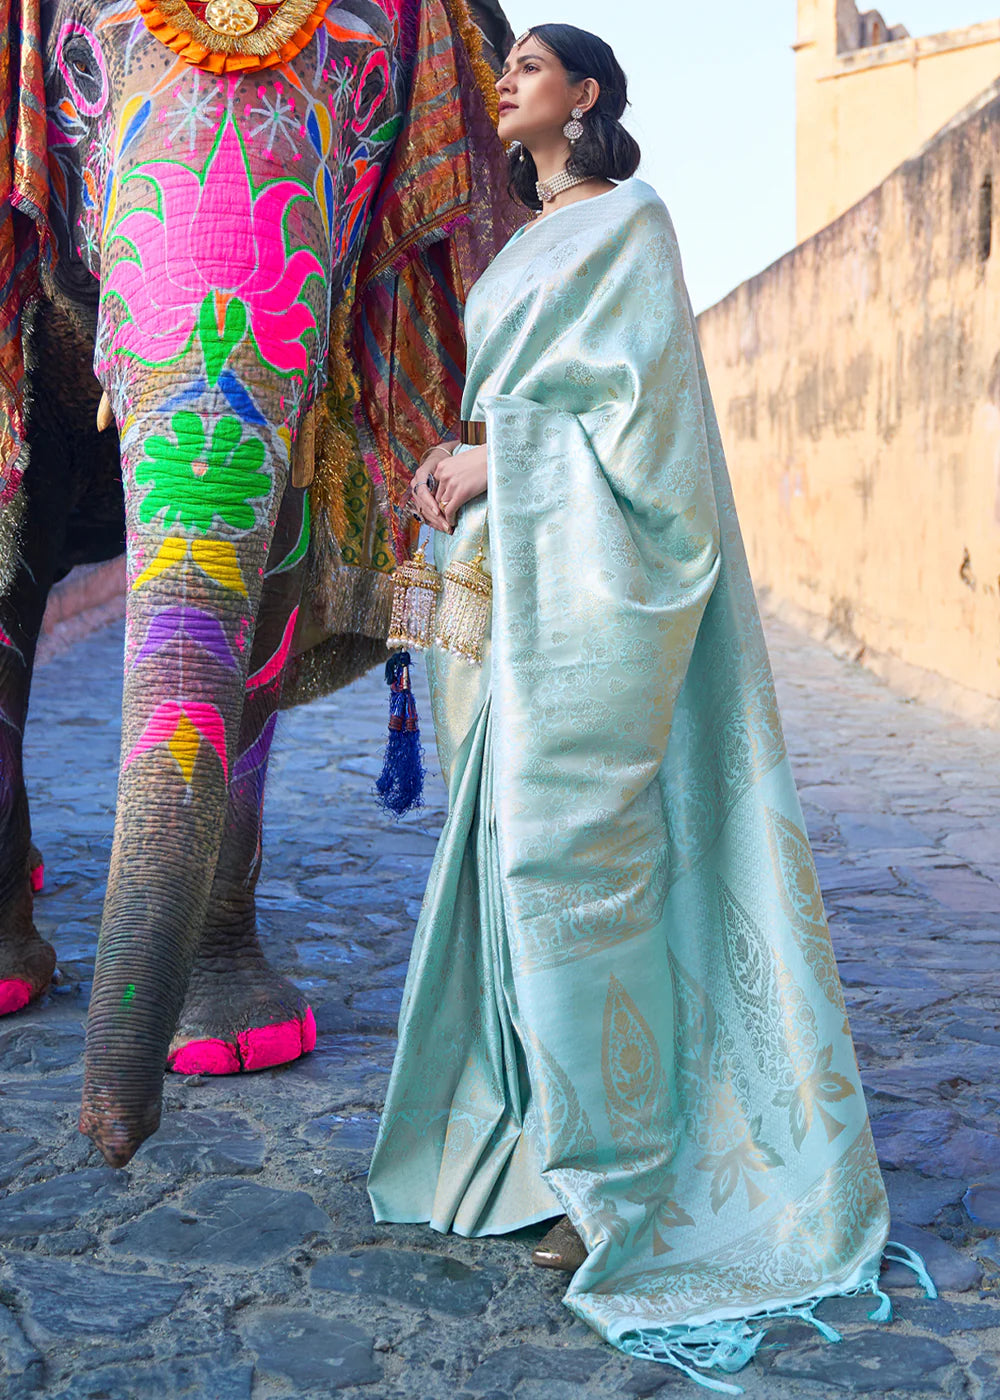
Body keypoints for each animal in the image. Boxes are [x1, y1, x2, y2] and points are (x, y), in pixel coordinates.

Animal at [0, 0, 515, 1164]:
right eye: (76, 70)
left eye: (370, 99)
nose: (111, 1143)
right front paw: (7, 985)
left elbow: (277, 571)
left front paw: (245, 1045)